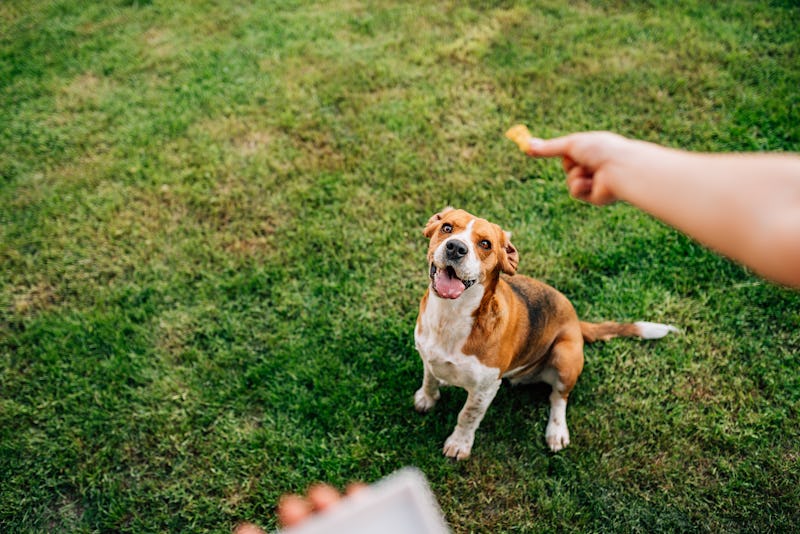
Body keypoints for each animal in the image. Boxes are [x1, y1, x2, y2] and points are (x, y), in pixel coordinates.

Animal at [416, 209, 680, 460]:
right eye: (447, 228)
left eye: (485, 244)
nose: (455, 248)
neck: (450, 316)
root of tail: (576, 321)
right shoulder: (427, 356)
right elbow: (429, 378)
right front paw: (427, 398)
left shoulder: (485, 389)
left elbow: (467, 416)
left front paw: (459, 444)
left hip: (565, 356)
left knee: (559, 397)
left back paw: (557, 431)